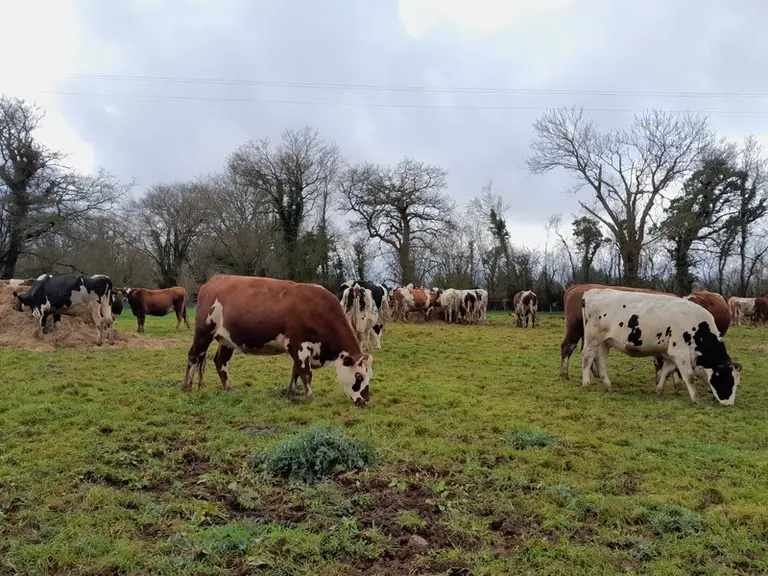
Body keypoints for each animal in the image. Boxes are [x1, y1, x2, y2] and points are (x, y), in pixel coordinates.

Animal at [182, 274, 374, 406]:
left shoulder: (300, 349)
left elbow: (295, 371)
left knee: (220, 361)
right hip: (203, 332)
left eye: (369, 376)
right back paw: (186, 387)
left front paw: (291, 392)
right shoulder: (299, 345)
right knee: (193, 356)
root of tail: (215, 279)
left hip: (226, 340)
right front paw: (310, 396)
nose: (365, 401)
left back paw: (228, 387)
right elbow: (305, 373)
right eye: (358, 376)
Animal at [581, 288, 742, 406]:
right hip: (592, 340)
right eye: (727, 380)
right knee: (587, 357)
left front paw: (659, 390)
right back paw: (586, 383)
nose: (729, 404)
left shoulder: (671, 354)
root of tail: (593, 292)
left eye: (736, 383)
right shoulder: (681, 353)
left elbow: (667, 371)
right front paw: (696, 398)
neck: (697, 326)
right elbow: (689, 377)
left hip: (605, 342)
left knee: (601, 362)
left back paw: (608, 385)